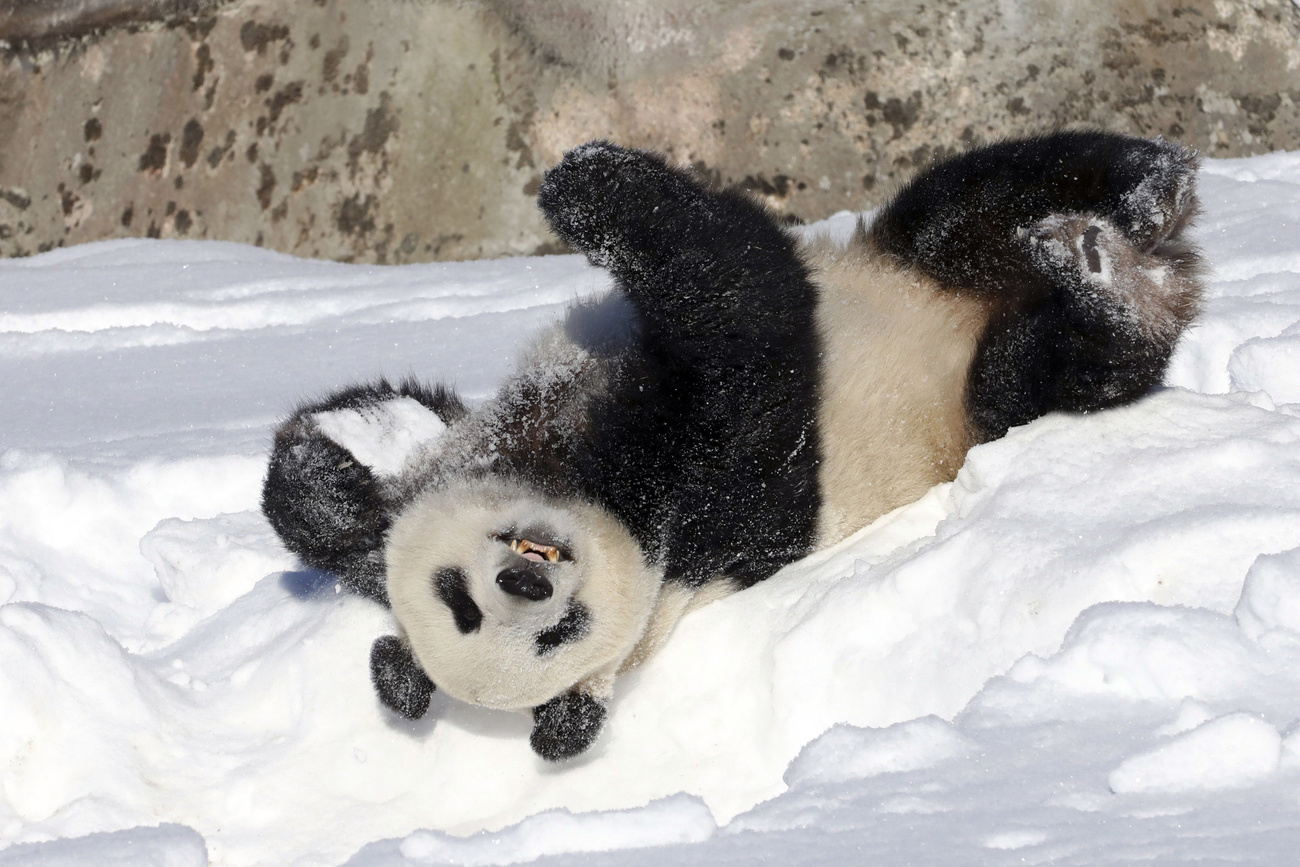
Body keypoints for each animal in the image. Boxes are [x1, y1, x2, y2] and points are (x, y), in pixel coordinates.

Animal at [263, 128, 1206, 759]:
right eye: (554, 635)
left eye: (457, 596)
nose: (527, 580)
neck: (575, 472)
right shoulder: (712, 505)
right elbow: (745, 314)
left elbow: (343, 485)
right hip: (984, 397)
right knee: (1056, 364)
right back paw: (1110, 282)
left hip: (920, 260)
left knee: (982, 192)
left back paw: (1142, 194)